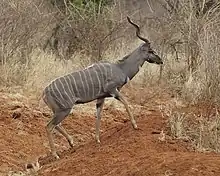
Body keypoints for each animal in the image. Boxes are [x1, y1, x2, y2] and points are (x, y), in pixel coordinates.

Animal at [43, 16, 163, 160]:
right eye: (151, 51)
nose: (161, 60)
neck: (121, 68)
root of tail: (44, 93)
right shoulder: (113, 90)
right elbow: (126, 102)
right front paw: (135, 125)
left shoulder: (101, 98)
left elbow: (98, 116)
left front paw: (97, 139)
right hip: (64, 110)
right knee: (49, 126)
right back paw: (56, 155)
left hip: (59, 111)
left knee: (57, 125)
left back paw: (72, 143)